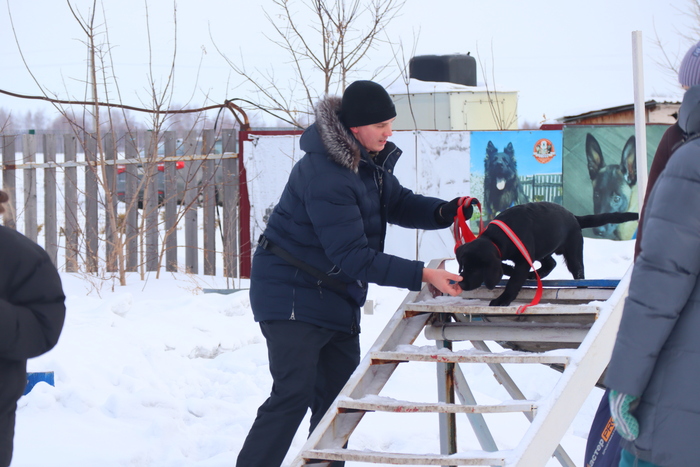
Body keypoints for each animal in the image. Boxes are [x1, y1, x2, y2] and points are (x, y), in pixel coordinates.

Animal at [455, 202, 638, 307]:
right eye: (464, 266)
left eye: (476, 269)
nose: (462, 284)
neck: (496, 237)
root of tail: (574, 217)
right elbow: (506, 267)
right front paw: (515, 272)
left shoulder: (523, 259)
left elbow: (514, 282)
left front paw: (503, 300)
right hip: (544, 247)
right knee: (551, 263)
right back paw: (535, 274)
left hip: (573, 252)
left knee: (578, 272)